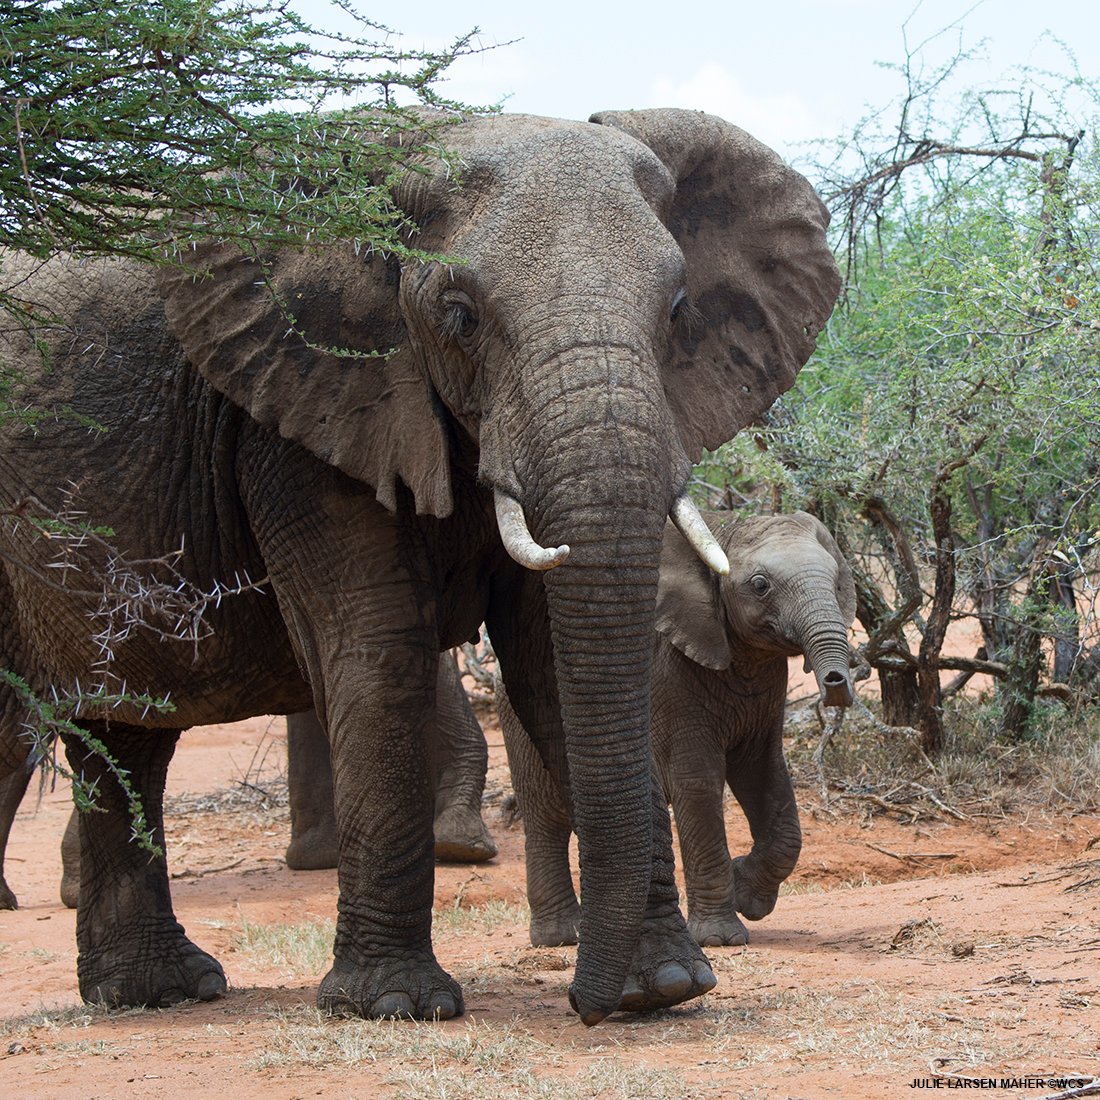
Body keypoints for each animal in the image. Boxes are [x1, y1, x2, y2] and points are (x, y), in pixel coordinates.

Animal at [502, 511, 856, 949]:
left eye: (838, 580)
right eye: (761, 586)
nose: (837, 681)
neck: (720, 531)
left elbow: (766, 778)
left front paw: (748, 897)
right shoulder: (669, 679)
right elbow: (698, 782)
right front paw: (721, 939)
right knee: (545, 813)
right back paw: (561, 937)